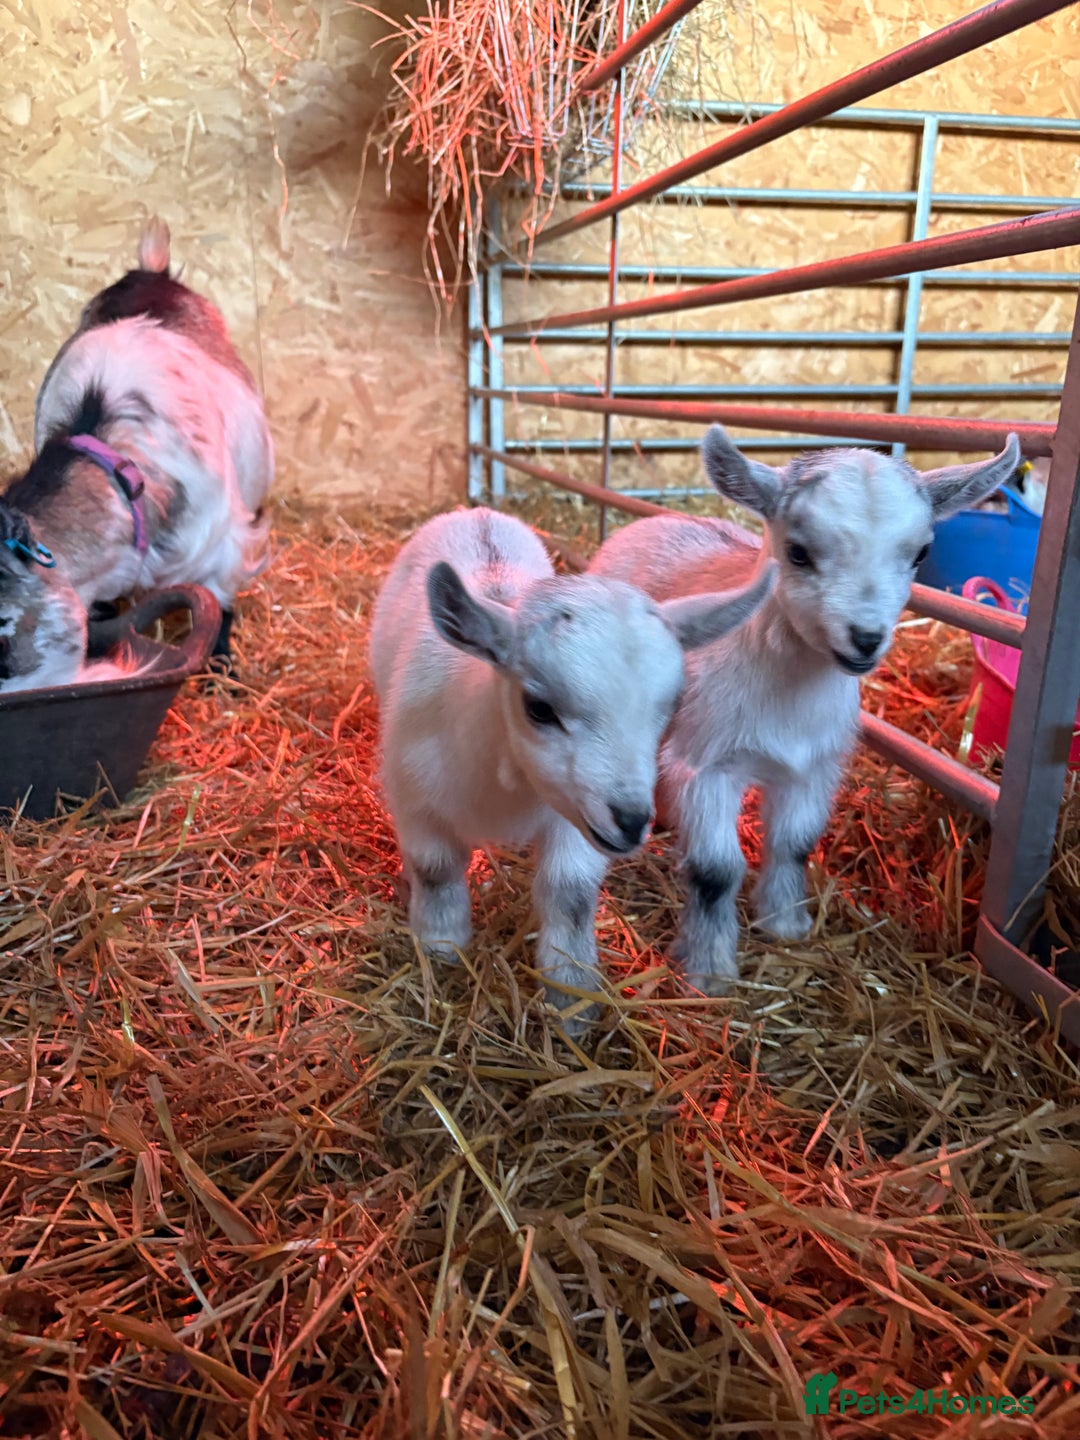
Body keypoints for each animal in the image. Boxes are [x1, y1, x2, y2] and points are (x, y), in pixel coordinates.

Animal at [369, 505, 777, 1029]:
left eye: (672, 705)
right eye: (539, 708)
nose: (631, 821)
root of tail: (475, 512)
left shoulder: (576, 819)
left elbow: (570, 894)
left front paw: (570, 995)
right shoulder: (415, 799)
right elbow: (435, 869)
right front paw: (440, 948)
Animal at [590, 425, 1021, 995]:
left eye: (921, 553)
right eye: (797, 552)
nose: (865, 638)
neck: (788, 697)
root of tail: (652, 521)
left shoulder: (813, 767)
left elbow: (793, 843)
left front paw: (785, 923)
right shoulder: (708, 765)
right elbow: (716, 871)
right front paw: (709, 971)